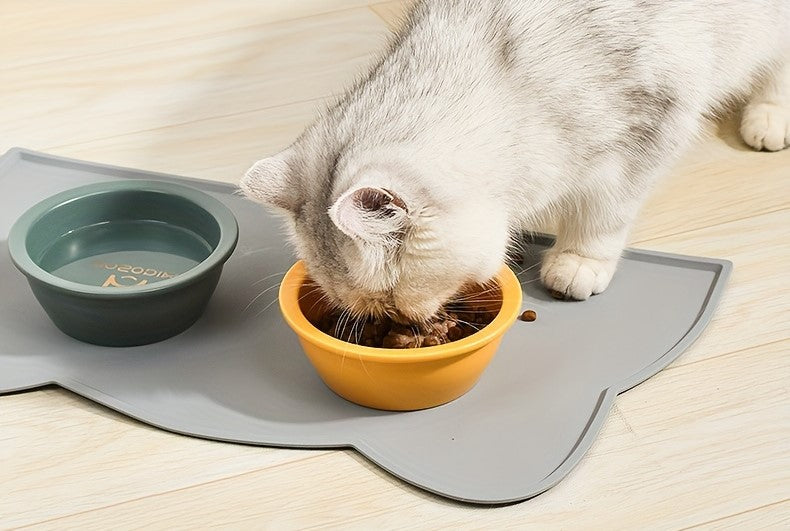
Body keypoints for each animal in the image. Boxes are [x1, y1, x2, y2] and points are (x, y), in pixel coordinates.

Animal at [241, 0, 790, 324]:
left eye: (391, 299)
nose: (399, 324)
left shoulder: (653, 126)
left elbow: (603, 214)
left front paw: (579, 261)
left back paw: (770, 115)